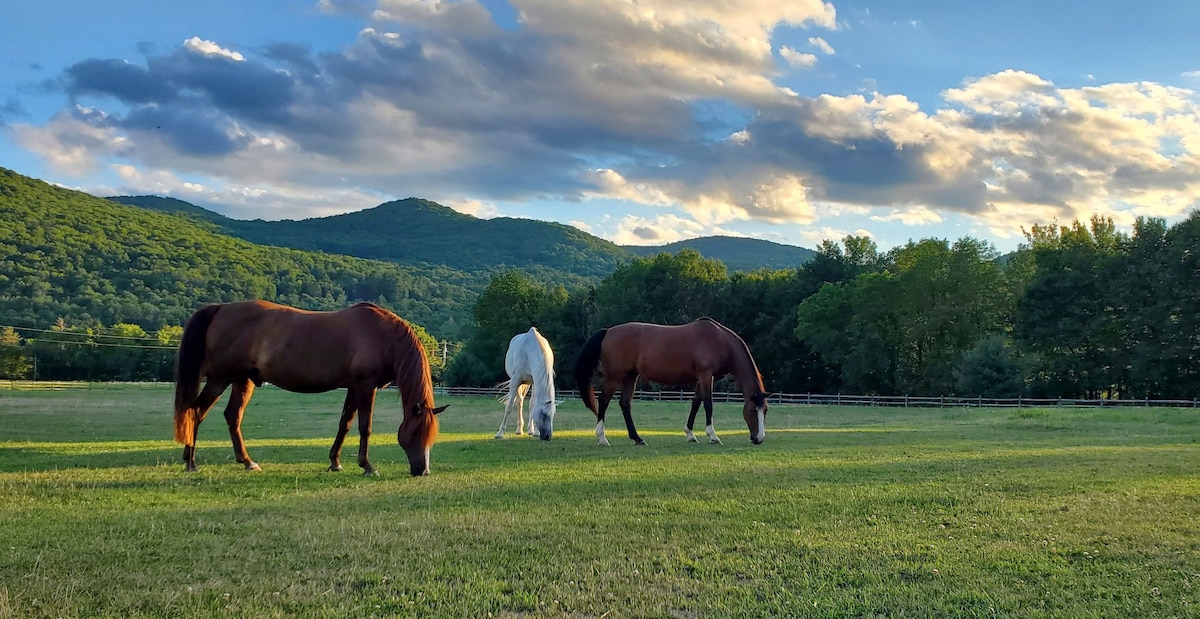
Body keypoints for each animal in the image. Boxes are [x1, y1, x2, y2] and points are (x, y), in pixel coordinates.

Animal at [172, 298, 446, 475]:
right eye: (415, 433)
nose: (423, 471)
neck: (382, 336)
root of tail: (221, 309)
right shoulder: (366, 386)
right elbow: (364, 427)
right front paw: (367, 466)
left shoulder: (353, 387)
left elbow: (345, 423)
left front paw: (335, 463)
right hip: (220, 379)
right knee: (196, 411)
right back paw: (191, 463)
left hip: (243, 380)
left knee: (232, 416)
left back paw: (247, 462)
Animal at [573, 319, 772, 443]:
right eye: (752, 410)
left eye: (765, 411)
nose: (759, 438)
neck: (719, 340)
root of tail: (608, 332)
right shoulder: (706, 375)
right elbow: (708, 404)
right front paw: (713, 436)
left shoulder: (702, 378)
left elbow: (695, 403)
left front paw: (690, 434)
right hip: (615, 376)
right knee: (604, 401)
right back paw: (602, 438)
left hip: (631, 376)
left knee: (625, 404)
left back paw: (637, 438)